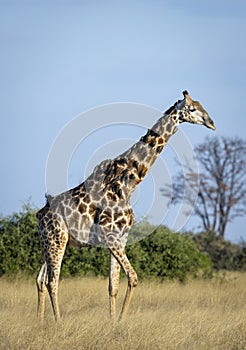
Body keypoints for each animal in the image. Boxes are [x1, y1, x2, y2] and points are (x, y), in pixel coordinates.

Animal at [36, 90, 215, 320]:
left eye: (201, 105)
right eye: (192, 108)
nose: (211, 123)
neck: (127, 185)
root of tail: (41, 214)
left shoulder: (121, 238)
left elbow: (113, 286)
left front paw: (113, 322)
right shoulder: (113, 238)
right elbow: (133, 278)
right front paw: (121, 320)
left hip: (50, 243)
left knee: (40, 279)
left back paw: (41, 322)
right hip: (56, 240)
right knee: (53, 281)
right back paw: (58, 322)